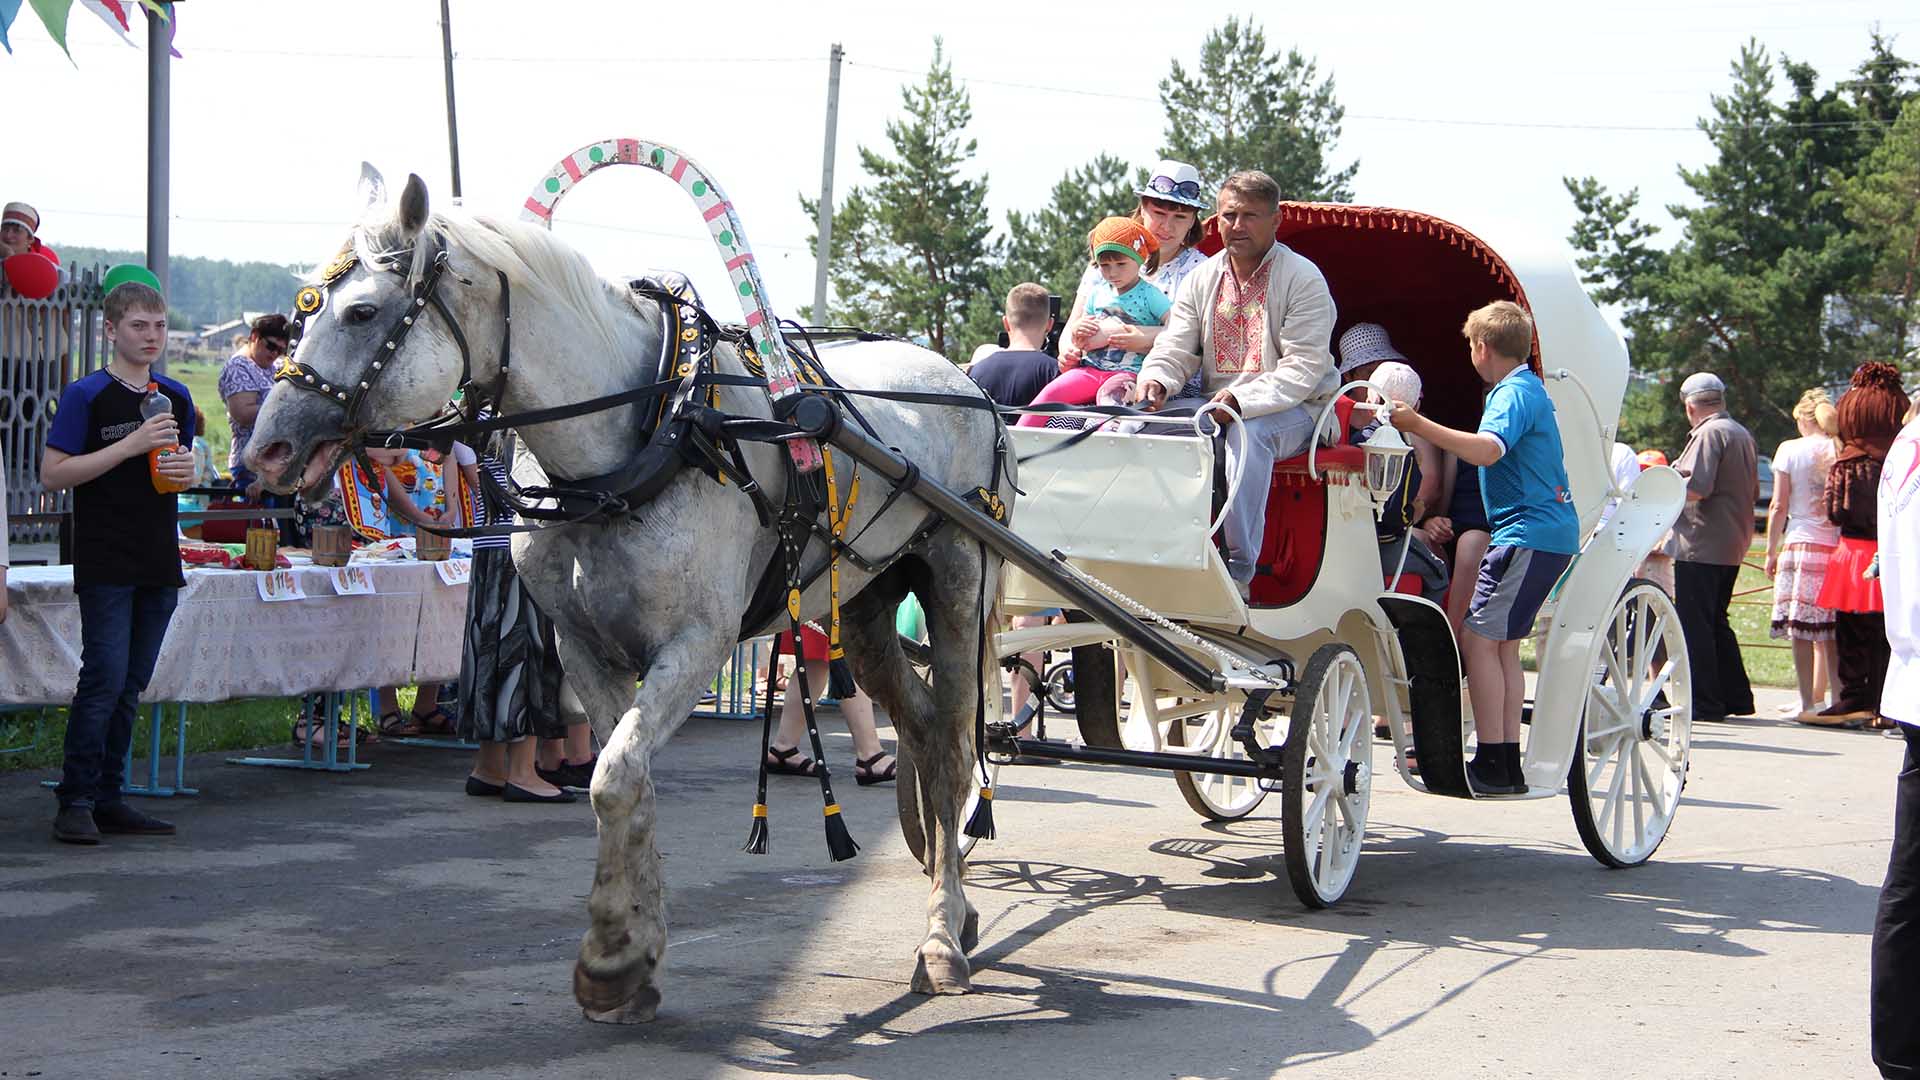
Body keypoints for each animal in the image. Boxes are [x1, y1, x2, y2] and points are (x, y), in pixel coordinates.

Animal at [247, 174, 1006, 1014]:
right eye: (302, 310)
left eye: (361, 312)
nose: (266, 448)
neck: (645, 436)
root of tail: (964, 384)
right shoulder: (583, 645)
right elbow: (625, 783)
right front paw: (634, 948)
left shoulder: (697, 644)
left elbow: (612, 778)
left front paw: (611, 953)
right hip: (868, 604)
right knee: (925, 724)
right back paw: (953, 906)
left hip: (959, 580)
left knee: (953, 750)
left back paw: (942, 938)